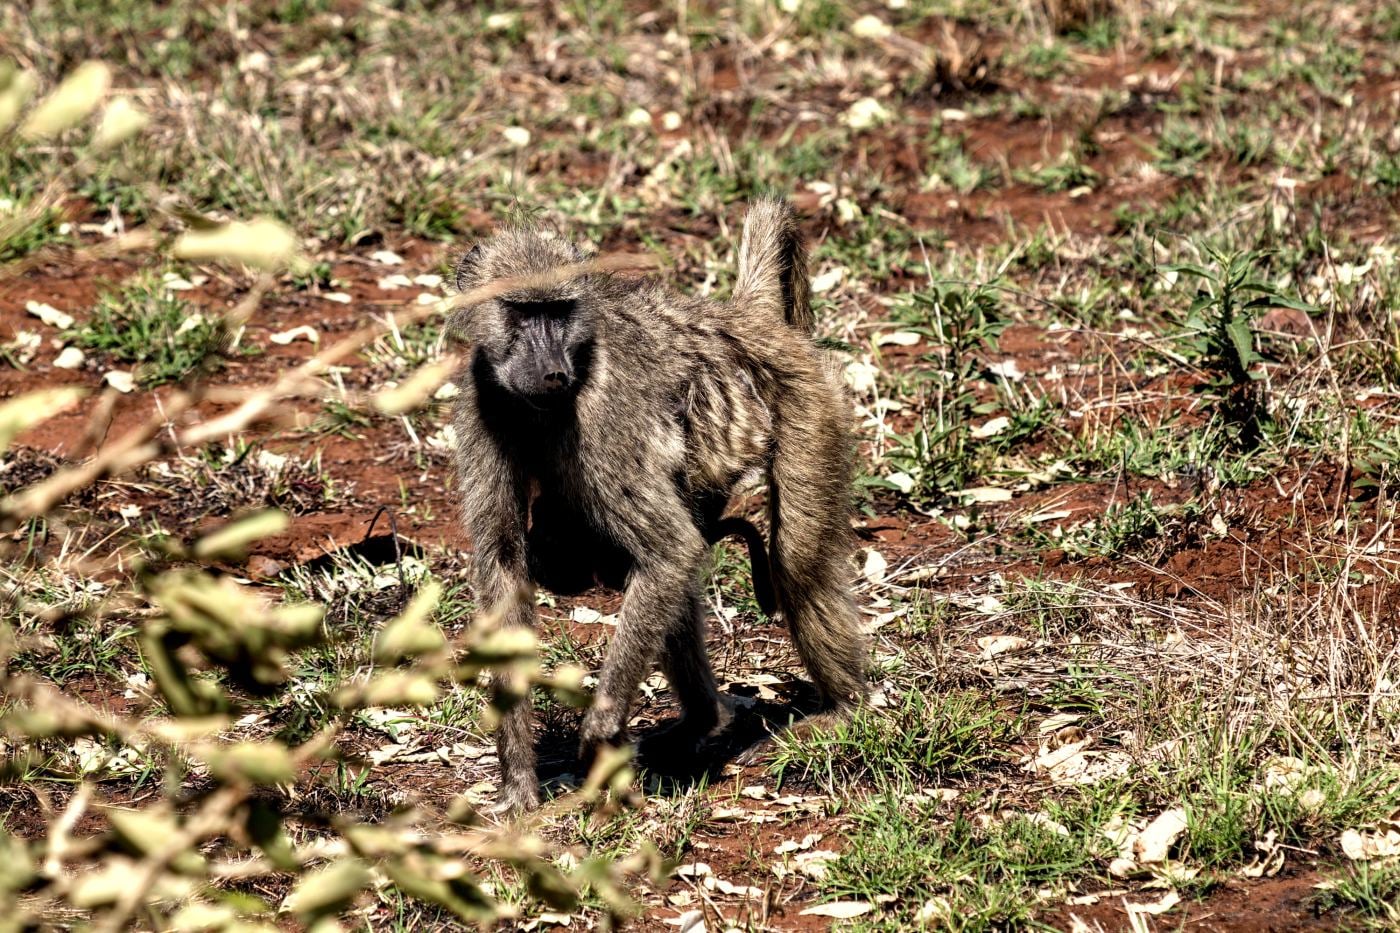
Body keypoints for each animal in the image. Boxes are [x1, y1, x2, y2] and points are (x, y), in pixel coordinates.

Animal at [450, 197, 867, 812]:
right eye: (522, 313)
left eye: (560, 311)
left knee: (793, 562)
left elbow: (670, 550)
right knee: (668, 577)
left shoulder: (605, 412)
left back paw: (843, 709)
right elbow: (504, 565)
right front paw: (518, 780)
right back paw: (701, 720)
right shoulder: (483, 400)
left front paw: (599, 732)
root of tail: (745, 319)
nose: (553, 372)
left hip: (812, 407)